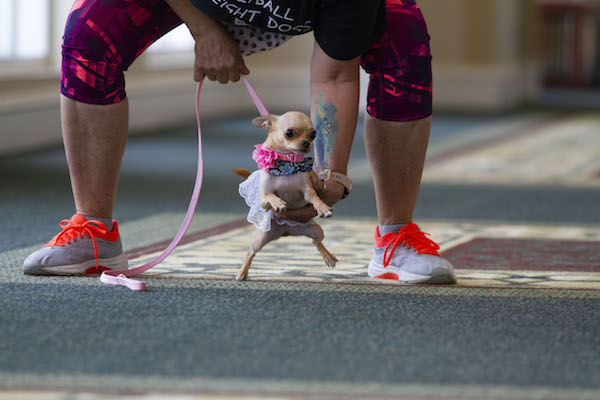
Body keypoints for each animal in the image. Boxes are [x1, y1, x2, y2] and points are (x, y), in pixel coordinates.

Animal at [234, 111, 338, 282]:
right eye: (289, 133)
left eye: (313, 134)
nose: (306, 143)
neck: (286, 165)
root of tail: (287, 230)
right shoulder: (263, 199)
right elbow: (269, 196)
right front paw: (277, 202)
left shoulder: (307, 190)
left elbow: (315, 197)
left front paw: (323, 207)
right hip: (259, 239)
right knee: (251, 252)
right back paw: (242, 272)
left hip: (316, 230)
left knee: (316, 242)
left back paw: (328, 257)